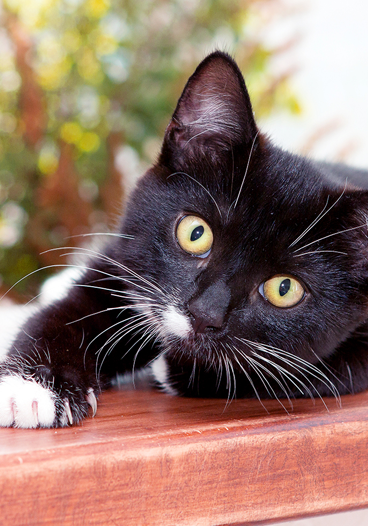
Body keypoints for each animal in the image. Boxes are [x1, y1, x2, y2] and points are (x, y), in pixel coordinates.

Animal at [0, 51, 368, 428]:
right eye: (195, 233)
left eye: (284, 288)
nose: (204, 314)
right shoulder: (123, 260)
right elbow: (68, 312)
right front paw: (33, 386)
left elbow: (313, 369)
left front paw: (171, 368)